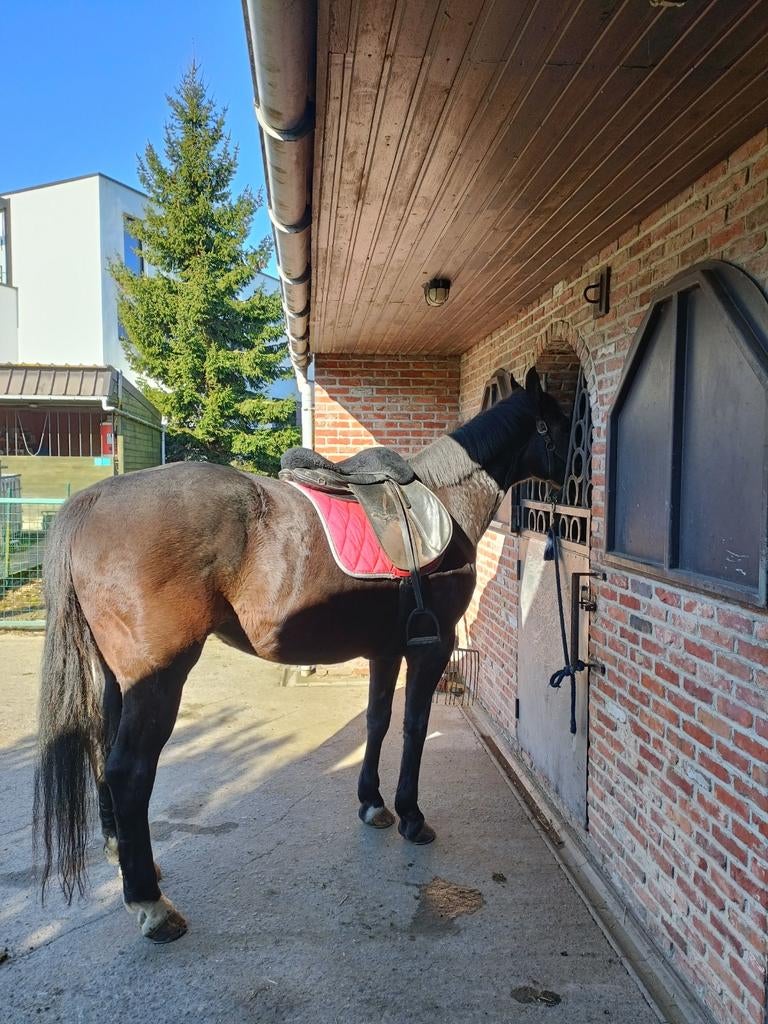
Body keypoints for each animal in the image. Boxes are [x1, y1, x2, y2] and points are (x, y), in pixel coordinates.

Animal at [33, 367, 569, 942]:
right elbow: (414, 727)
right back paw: (151, 904)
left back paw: (127, 858)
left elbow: (378, 721)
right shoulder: (432, 646)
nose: (580, 476)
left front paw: (372, 804)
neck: (445, 502)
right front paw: (411, 815)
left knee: (103, 750)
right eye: (564, 420)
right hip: (159, 677)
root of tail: (93, 501)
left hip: (120, 677)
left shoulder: (385, 650)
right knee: (129, 770)